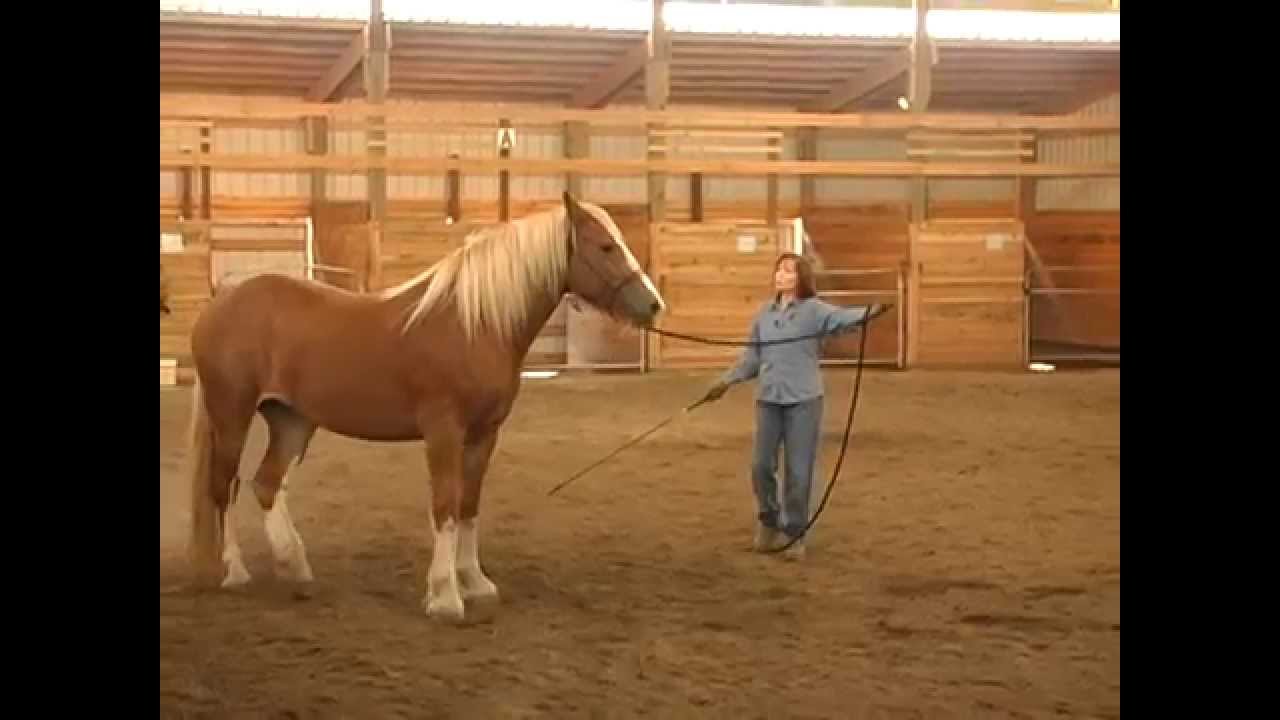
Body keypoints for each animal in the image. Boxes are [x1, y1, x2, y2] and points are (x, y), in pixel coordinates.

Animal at [183, 192, 665, 623]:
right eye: (605, 246)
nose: (653, 304)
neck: (474, 323)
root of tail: (222, 302)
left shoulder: (484, 434)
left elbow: (469, 504)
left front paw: (475, 583)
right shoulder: (444, 431)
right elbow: (445, 504)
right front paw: (445, 596)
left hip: (292, 420)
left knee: (266, 483)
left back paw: (295, 567)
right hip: (232, 415)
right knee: (224, 486)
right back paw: (234, 572)